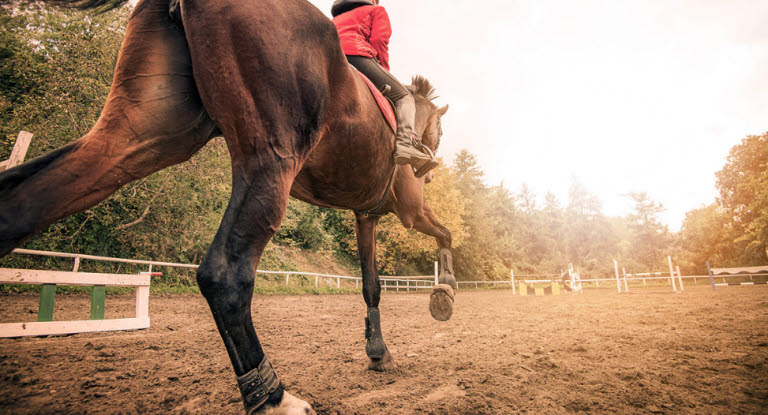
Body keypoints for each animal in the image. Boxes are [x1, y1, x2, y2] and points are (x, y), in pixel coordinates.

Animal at [0, 1, 456, 414]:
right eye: (440, 129)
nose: (428, 167)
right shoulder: (409, 211)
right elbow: (445, 233)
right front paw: (445, 292)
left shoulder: (366, 216)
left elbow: (371, 285)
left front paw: (378, 351)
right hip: (271, 158)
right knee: (224, 274)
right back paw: (271, 397)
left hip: (148, 135)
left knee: (24, 203)